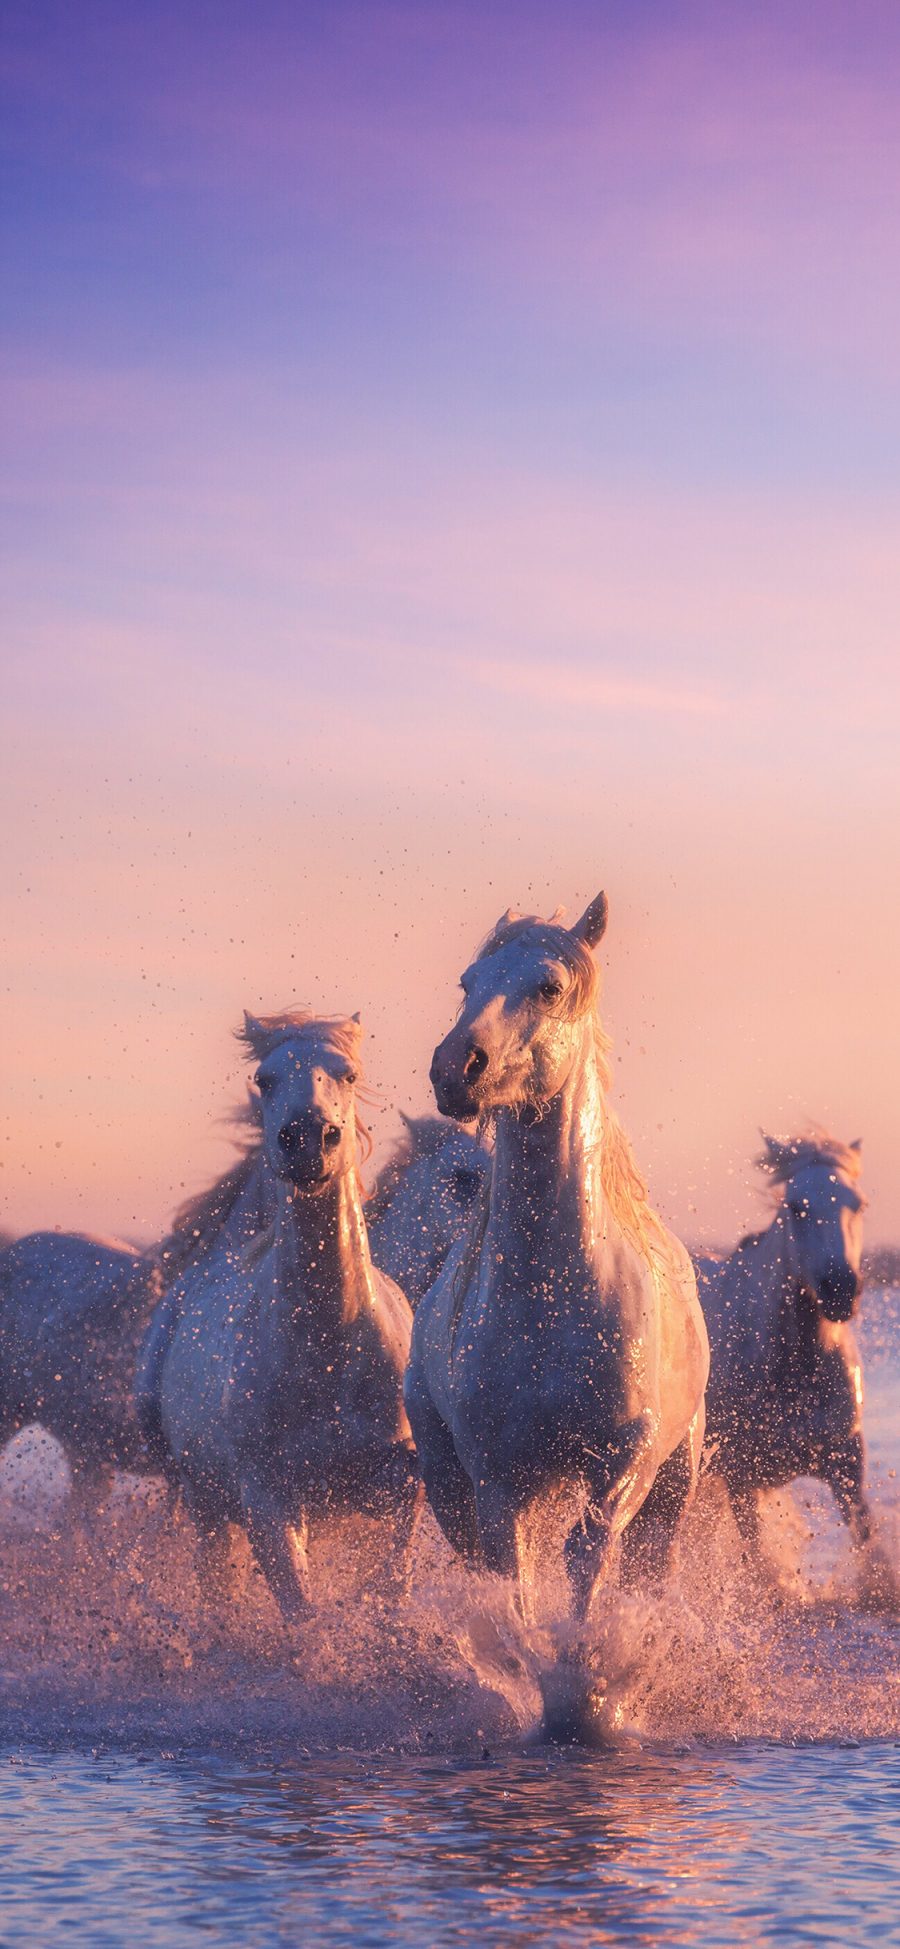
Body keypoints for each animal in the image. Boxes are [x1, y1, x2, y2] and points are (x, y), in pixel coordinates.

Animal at [135, 1013, 416, 1621]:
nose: (309, 1139)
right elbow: (302, 1614)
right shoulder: (268, 1501)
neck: (330, 1350)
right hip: (205, 1503)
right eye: (264, 1079)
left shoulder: (399, 1486)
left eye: (347, 1073)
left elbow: (393, 1582)